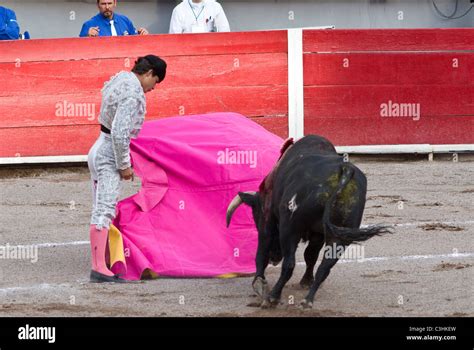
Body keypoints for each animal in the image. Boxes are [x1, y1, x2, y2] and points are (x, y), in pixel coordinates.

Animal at [228, 135, 390, 308]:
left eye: (256, 216)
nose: (274, 258)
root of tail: (345, 170)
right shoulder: (318, 233)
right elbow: (311, 256)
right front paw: (306, 281)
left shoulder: (268, 217)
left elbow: (262, 250)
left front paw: (259, 282)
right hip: (340, 236)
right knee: (324, 267)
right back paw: (308, 299)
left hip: (290, 228)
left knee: (289, 264)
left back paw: (274, 296)